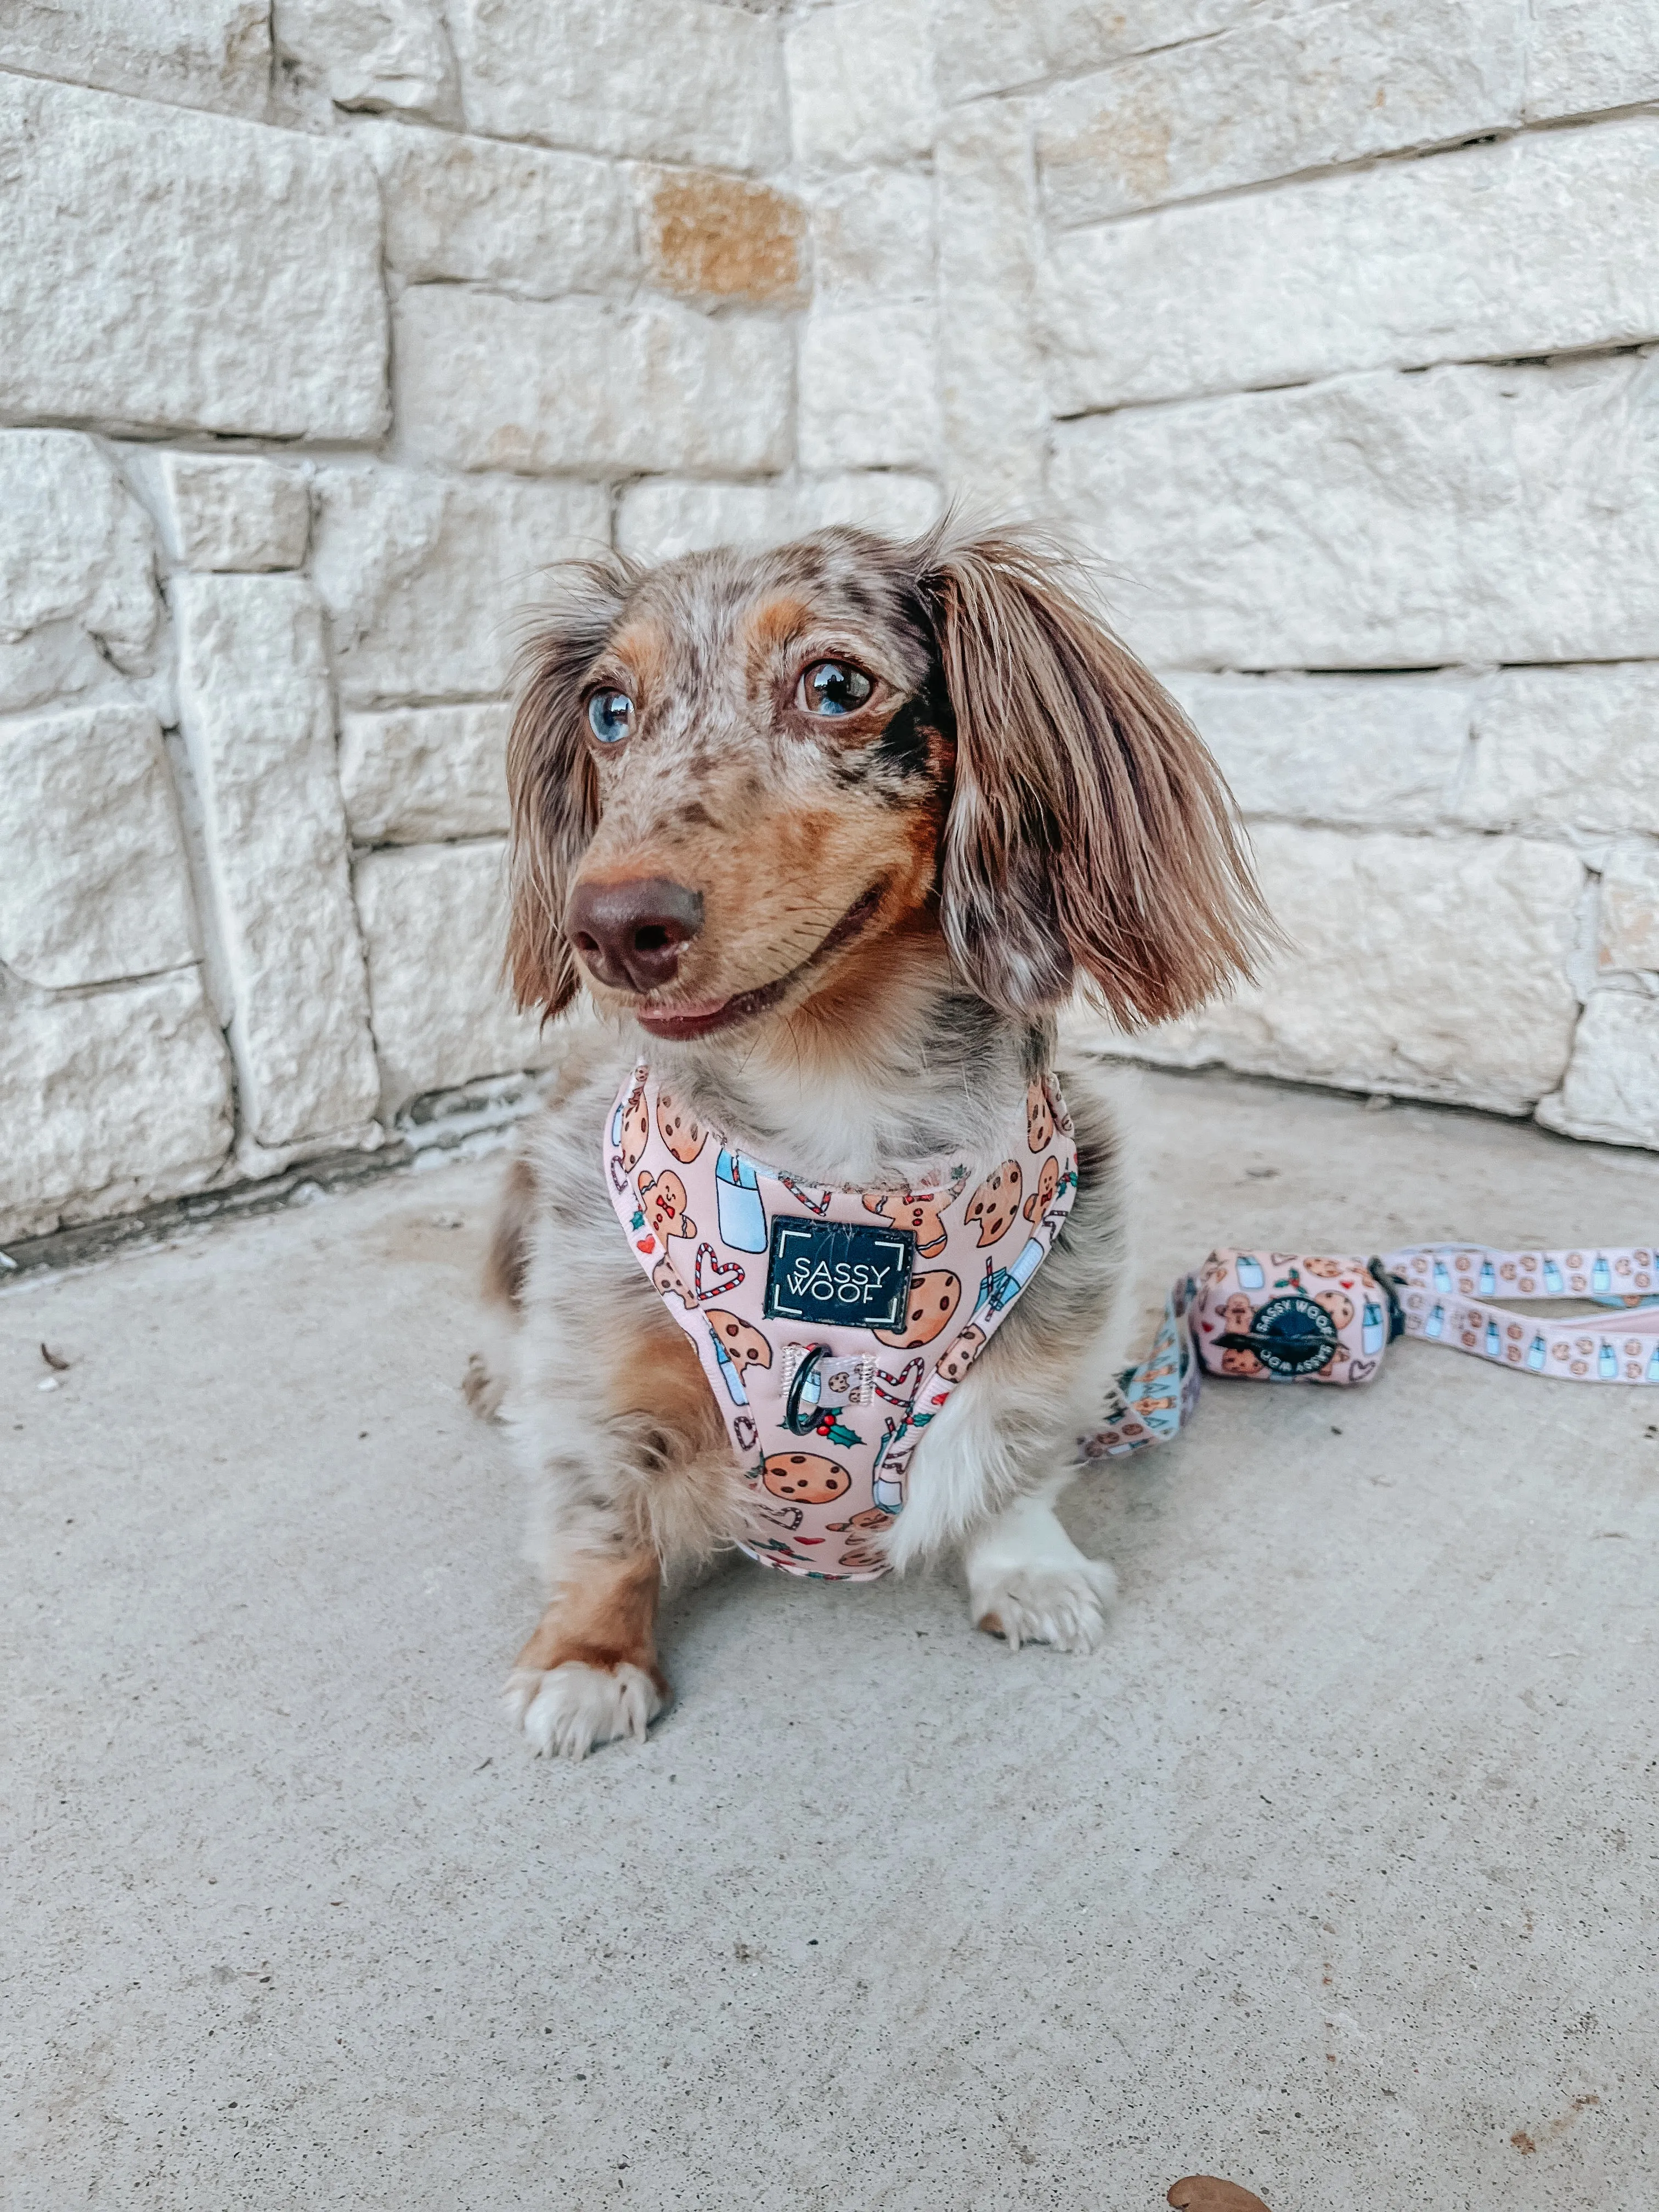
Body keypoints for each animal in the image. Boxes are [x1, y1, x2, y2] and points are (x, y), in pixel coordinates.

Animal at [479, 522, 1274, 1760]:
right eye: (608, 711)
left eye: (836, 686)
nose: (607, 929)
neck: (840, 1121)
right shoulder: (595, 1373)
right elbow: (602, 1523)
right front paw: (588, 1657)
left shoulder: (1057, 1327)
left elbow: (1017, 1468)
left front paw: (1027, 1570)